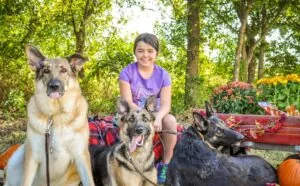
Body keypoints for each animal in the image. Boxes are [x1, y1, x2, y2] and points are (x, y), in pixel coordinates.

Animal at [4, 45, 94, 186]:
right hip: (16, 159)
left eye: (63, 70)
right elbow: (25, 181)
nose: (54, 86)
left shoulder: (81, 156)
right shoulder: (32, 157)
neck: (55, 115)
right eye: (46, 71)